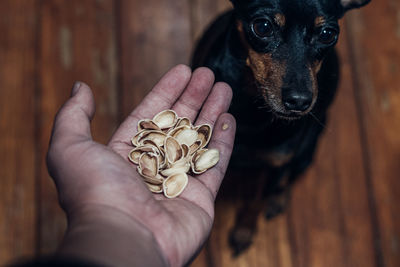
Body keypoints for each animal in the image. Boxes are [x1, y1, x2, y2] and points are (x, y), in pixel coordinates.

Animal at [192, 0, 370, 256]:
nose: (299, 101)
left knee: (290, 176)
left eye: (328, 34)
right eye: (263, 27)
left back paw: (278, 199)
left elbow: (256, 201)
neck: (251, 107)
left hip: (308, 149)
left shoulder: (276, 166)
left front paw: (244, 232)